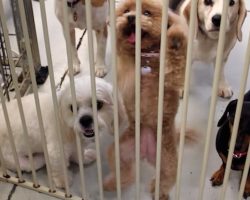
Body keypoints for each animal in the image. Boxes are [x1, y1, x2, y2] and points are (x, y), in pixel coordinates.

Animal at [0, 76, 128, 188]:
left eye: (98, 104)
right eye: (72, 108)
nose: (85, 119)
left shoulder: (76, 144)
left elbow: (78, 154)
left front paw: (84, 158)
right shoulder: (56, 151)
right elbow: (59, 167)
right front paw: (63, 181)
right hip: (17, 160)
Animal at [103, 0, 188, 199]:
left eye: (147, 13)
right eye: (126, 11)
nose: (130, 18)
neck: (146, 56)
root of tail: (145, 151)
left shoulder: (173, 79)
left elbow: (176, 62)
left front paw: (175, 40)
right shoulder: (126, 73)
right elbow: (127, 67)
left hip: (168, 161)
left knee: (165, 180)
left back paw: (158, 191)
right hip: (119, 151)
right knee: (125, 172)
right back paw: (112, 184)